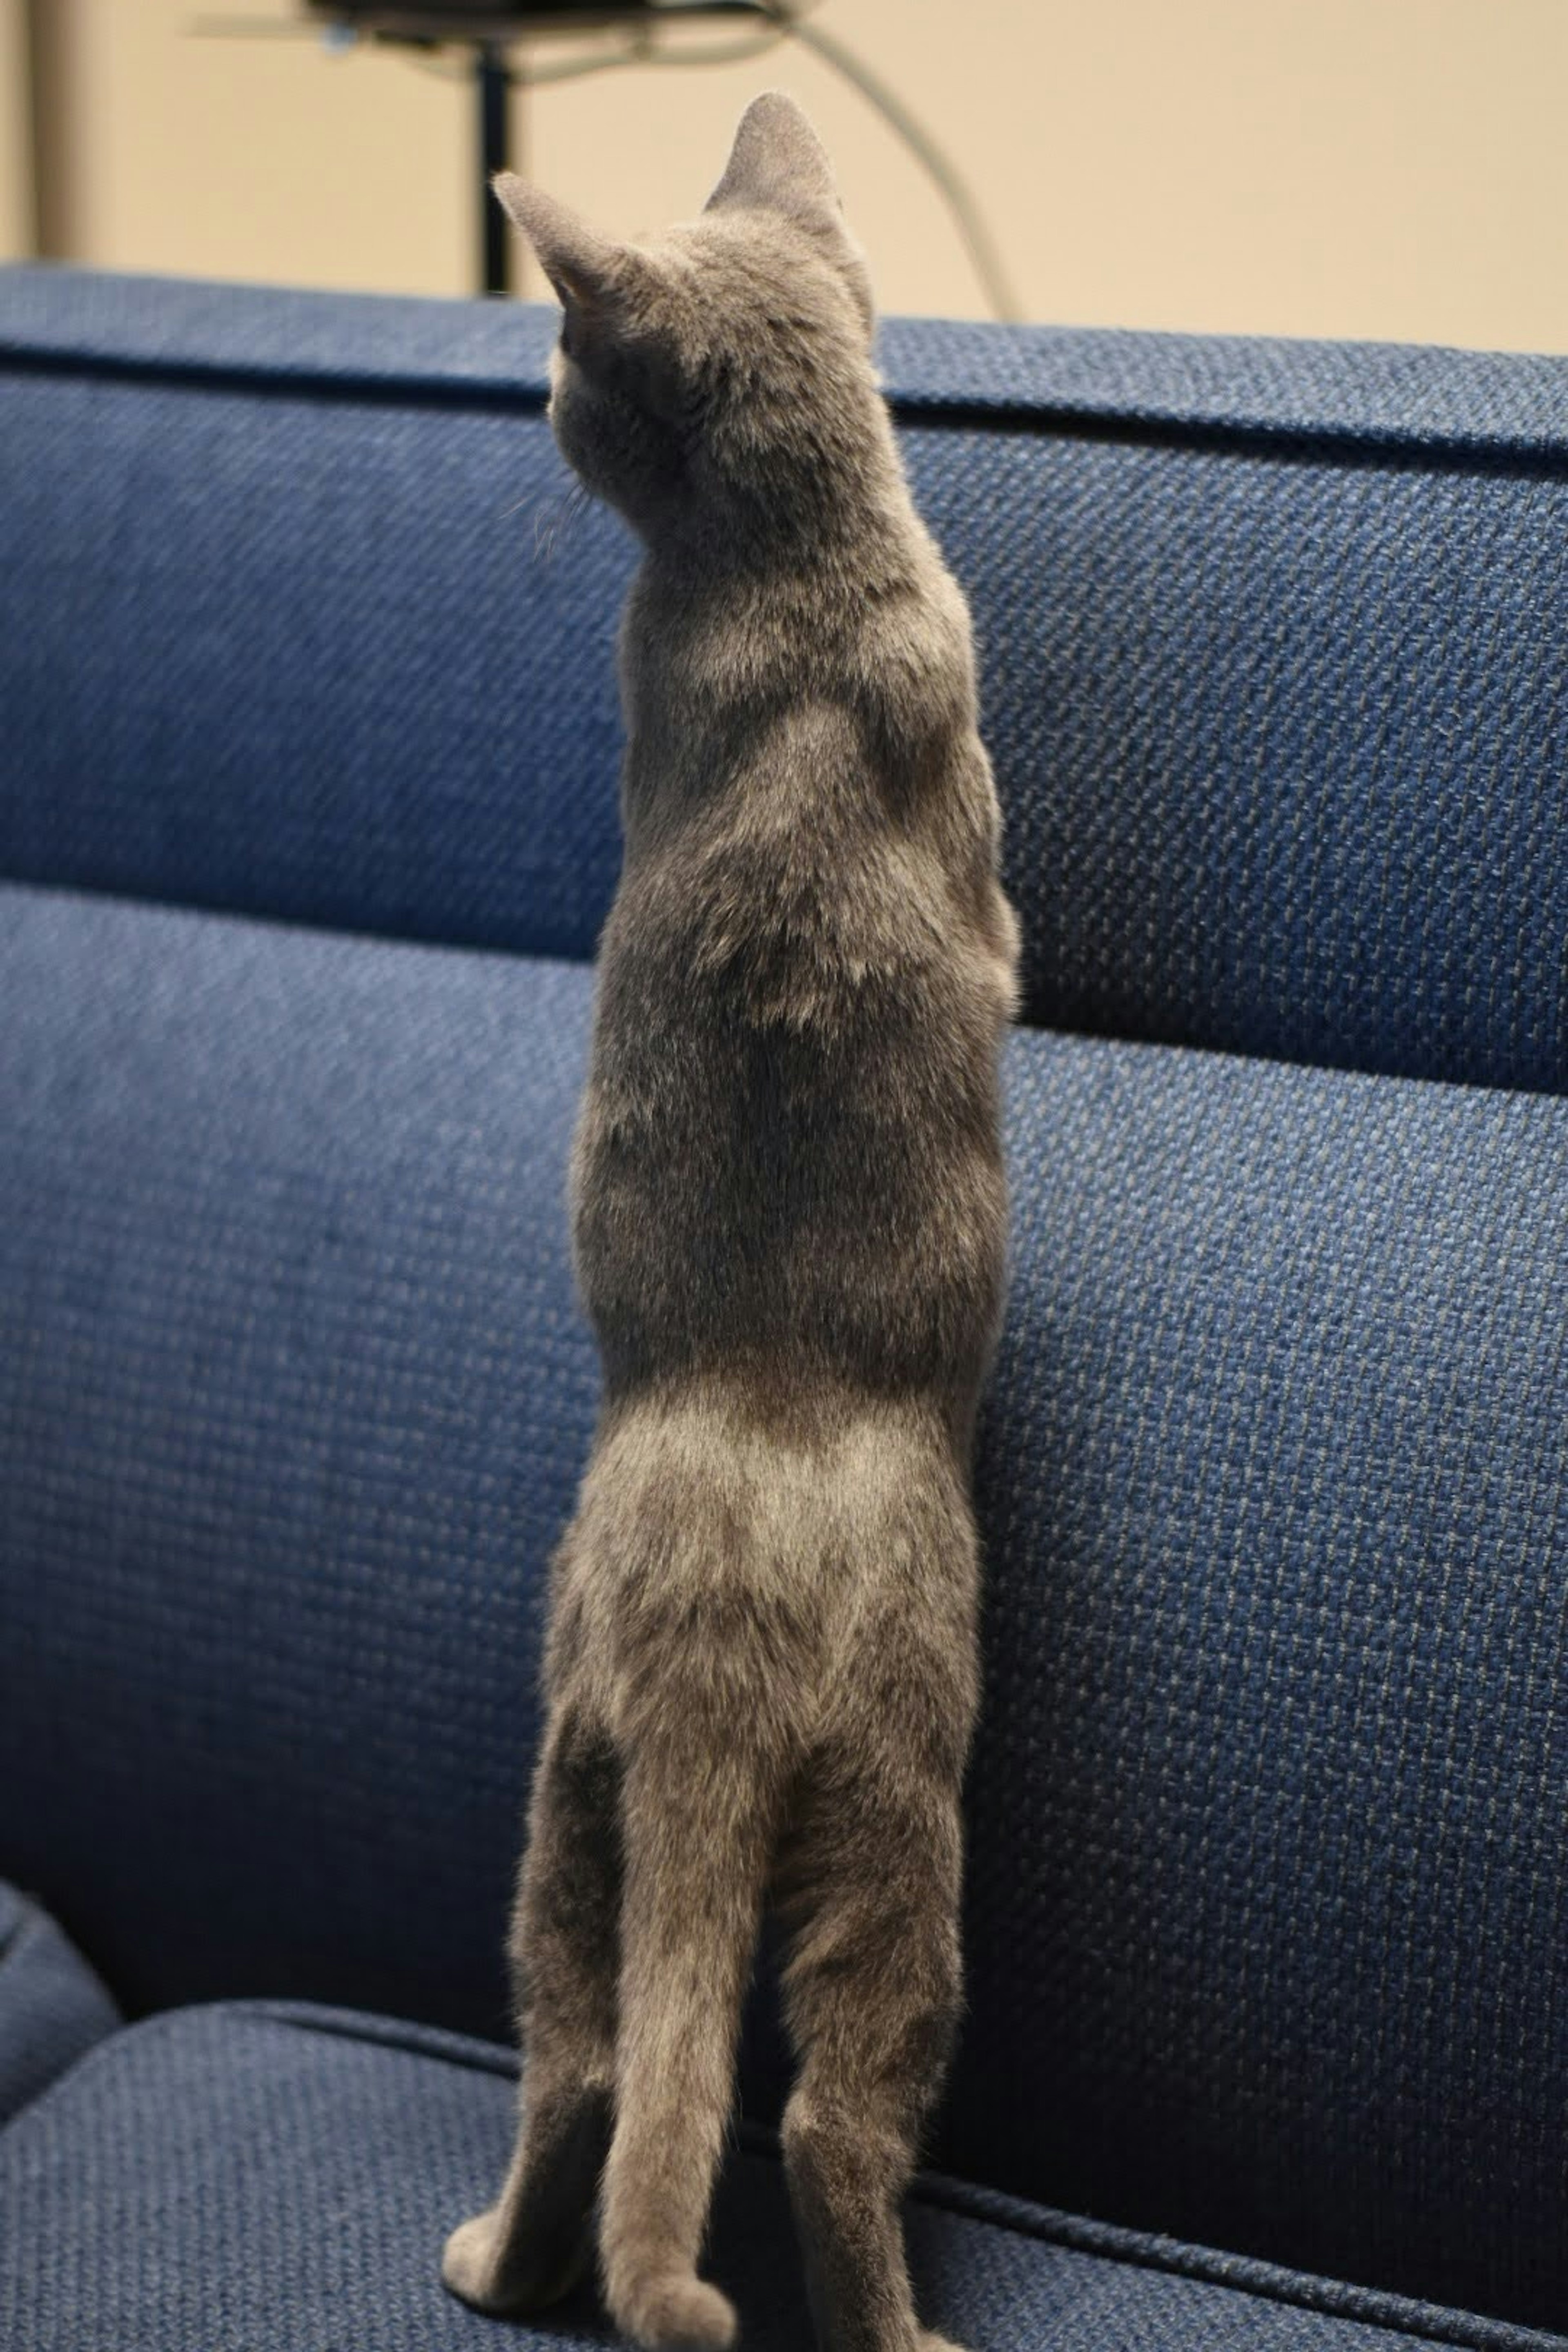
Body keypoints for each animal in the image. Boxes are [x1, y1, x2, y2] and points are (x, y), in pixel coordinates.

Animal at [444, 91, 1020, 2352]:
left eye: (561, 363)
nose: (530, 390)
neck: (781, 570)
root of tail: (712, 1649)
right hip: (895, 1824)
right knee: (828, 2121)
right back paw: (900, 2329)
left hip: (569, 1786)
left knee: (588, 2061)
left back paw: (499, 2266)